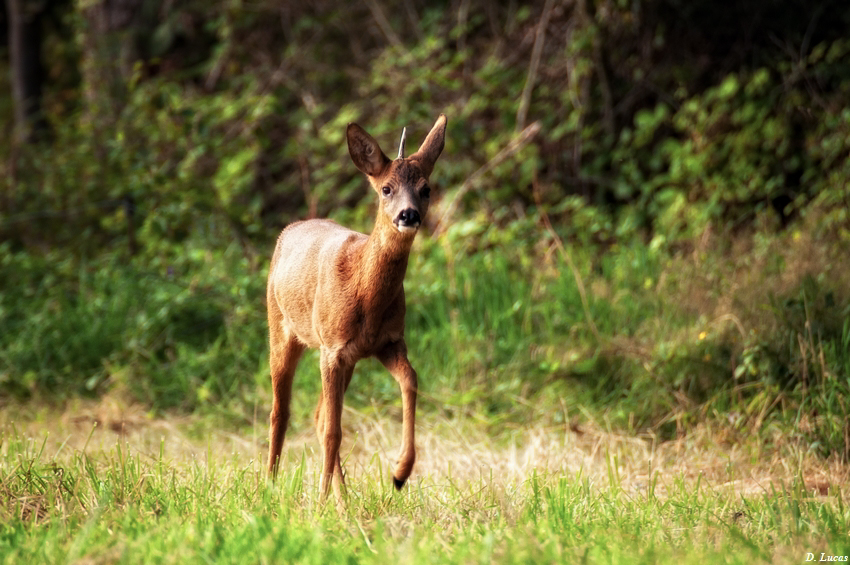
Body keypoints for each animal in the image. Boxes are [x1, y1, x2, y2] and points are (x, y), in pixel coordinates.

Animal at [266, 112, 448, 500]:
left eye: (426, 188)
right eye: (386, 189)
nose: (408, 215)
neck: (365, 295)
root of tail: (290, 229)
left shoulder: (387, 342)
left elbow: (411, 380)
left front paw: (400, 472)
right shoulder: (332, 349)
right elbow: (334, 429)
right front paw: (319, 502)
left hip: (341, 358)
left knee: (318, 415)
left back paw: (344, 499)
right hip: (282, 329)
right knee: (281, 412)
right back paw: (270, 485)